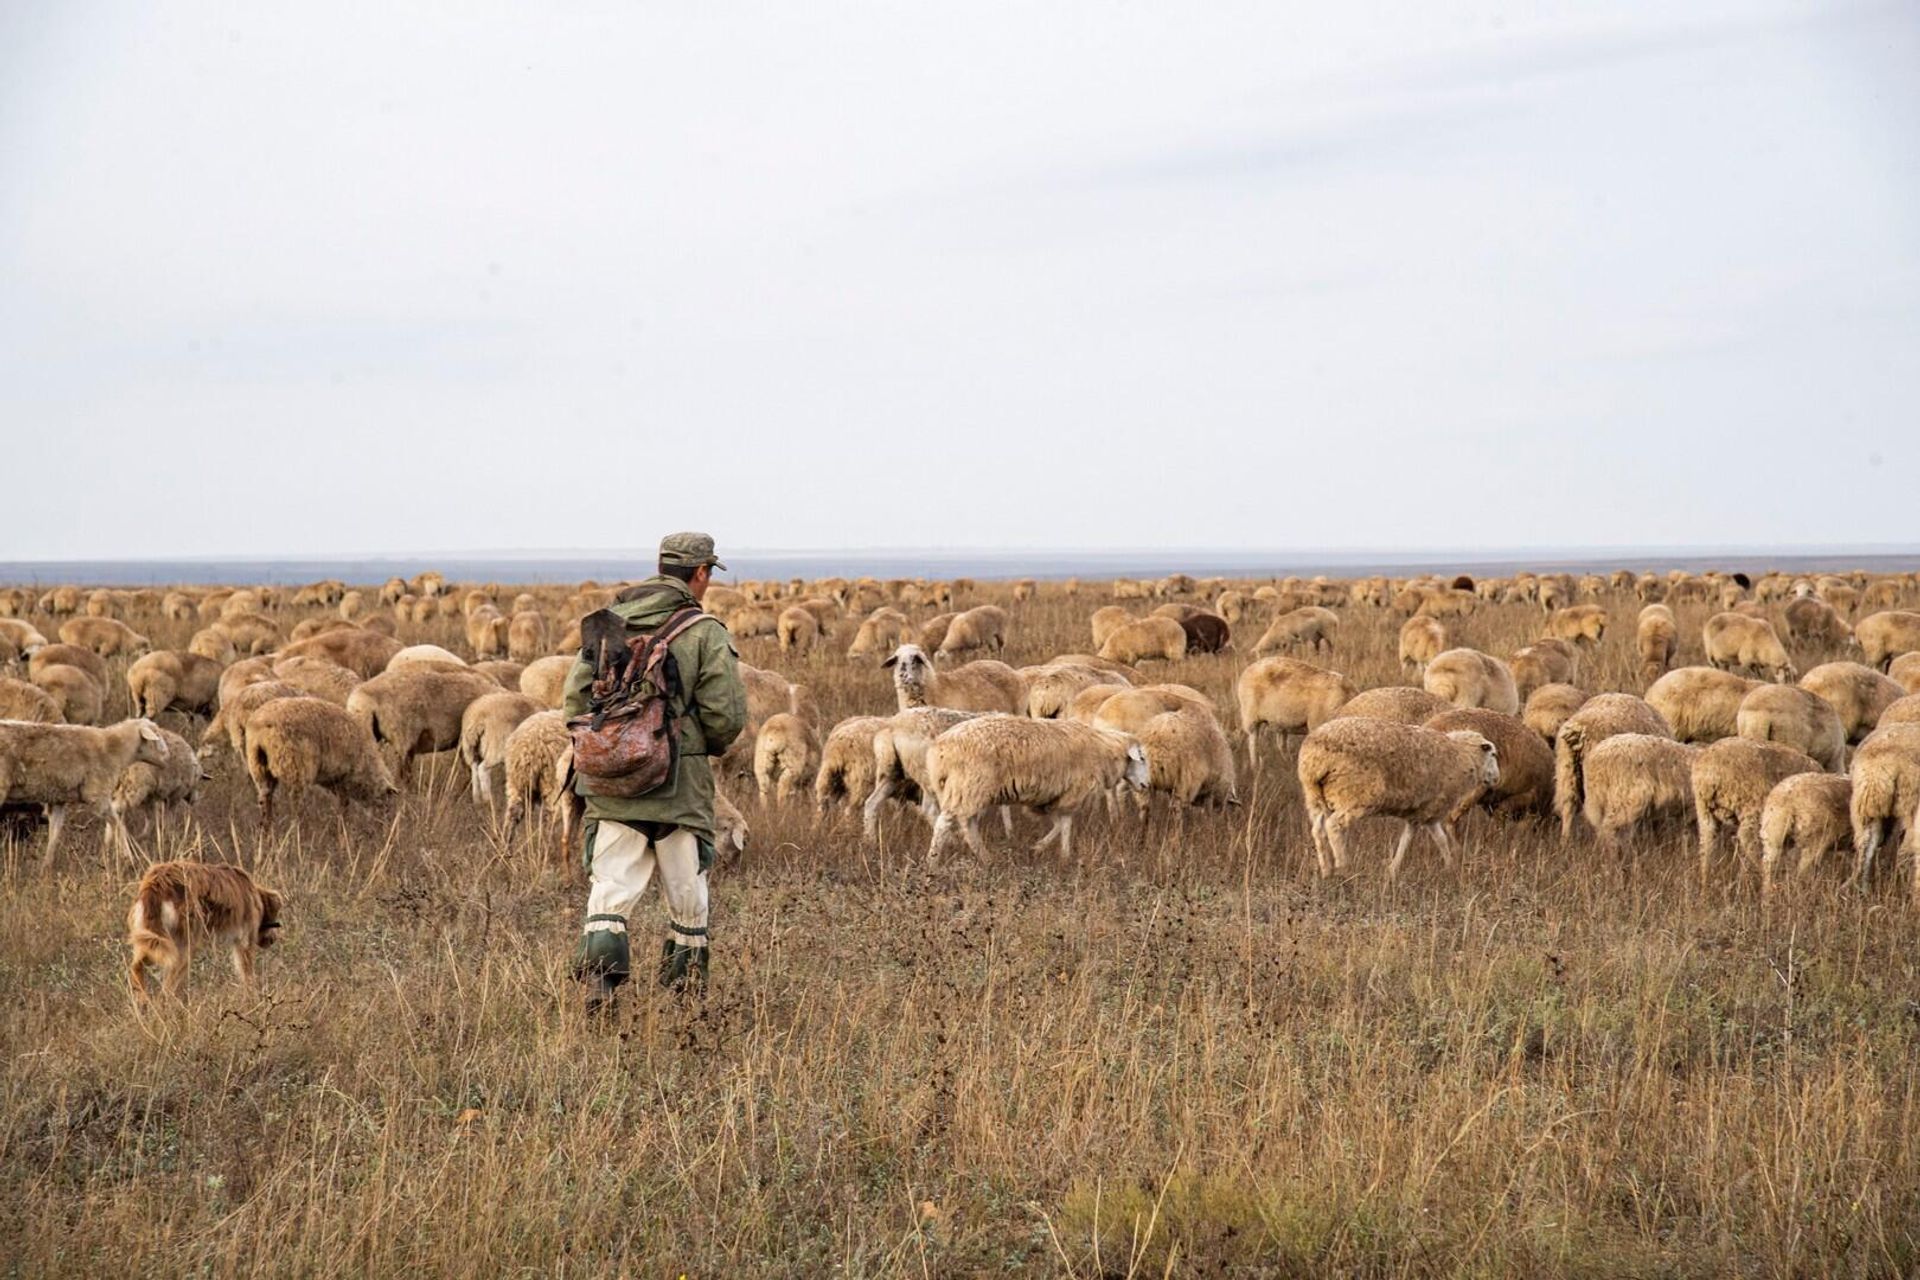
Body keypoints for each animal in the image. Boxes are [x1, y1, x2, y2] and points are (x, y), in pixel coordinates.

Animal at [0, 717, 170, 857]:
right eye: (157, 735)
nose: (168, 757)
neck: (113, 749)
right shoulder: (97, 796)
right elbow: (117, 823)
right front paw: (128, 858)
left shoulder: (57, 799)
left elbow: (54, 836)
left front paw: (46, 870)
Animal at [245, 697, 398, 827]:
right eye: (388, 805)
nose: (386, 825)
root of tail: (261, 726)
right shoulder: (343, 776)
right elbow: (344, 804)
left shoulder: (336, 781)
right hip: (296, 769)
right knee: (296, 808)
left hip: (258, 768)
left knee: (265, 804)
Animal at [924, 716, 1149, 860]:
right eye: (1142, 758)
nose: (1146, 785)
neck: (1103, 750)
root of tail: (938, 749)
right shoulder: (1072, 792)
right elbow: (1065, 823)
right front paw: (1064, 856)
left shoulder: (1050, 797)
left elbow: (1057, 823)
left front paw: (1038, 847)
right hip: (969, 784)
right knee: (944, 824)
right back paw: (932, 861)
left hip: (965, 788)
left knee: (968, 824)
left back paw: (985, 858)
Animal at [1296, 717, 1499, 881]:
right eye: (1492, 754)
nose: (1497, 778)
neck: (1463, 756)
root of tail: (1316, 757)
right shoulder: (1431, 809)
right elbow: (1431, 839)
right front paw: (1451, 868)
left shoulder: (1421, 812)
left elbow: (1418, 839)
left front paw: (1393, 870)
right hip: (1353, 794)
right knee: (1334, 826)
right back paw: (1344, 869)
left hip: (1315, 797)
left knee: (1318, 830)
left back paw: (1326, 870)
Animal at [1693, 737, 1823, 885]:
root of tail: (1710, 774)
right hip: (1752, 804)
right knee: (1746, 837)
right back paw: (1764, 871)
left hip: (1704, 810)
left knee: (1706, 845)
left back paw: (1705, 884)